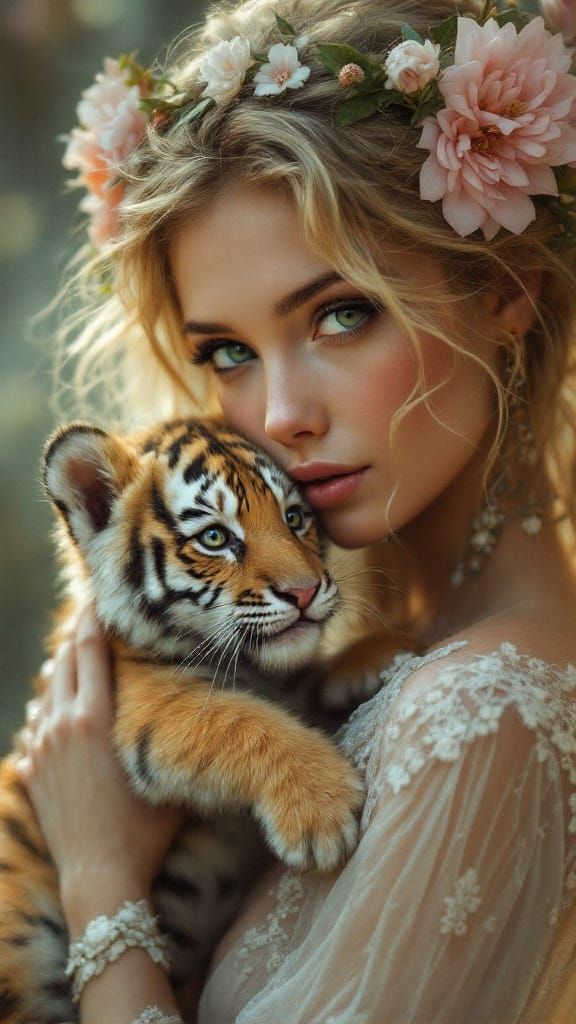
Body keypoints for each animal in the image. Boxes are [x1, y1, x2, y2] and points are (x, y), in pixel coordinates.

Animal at [0, 417, 405, 1024]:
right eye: (215, 538)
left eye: (295, 517)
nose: (306, 591)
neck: (254, 670)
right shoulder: (150, 709)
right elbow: (242, 722)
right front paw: (321, 810)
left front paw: (377, 651)